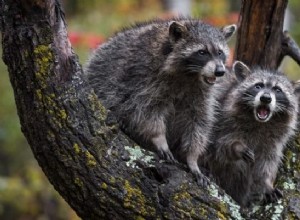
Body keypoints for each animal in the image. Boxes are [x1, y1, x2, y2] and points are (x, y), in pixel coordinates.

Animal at [85, 17, 237, 186]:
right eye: (202, 52)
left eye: (220, 52)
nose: (220, 71)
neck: (190, 75)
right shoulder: (144, 76)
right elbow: (146, 111)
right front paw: (159, 137)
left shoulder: (202, 94)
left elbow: (199, 121)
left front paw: (192, 158)